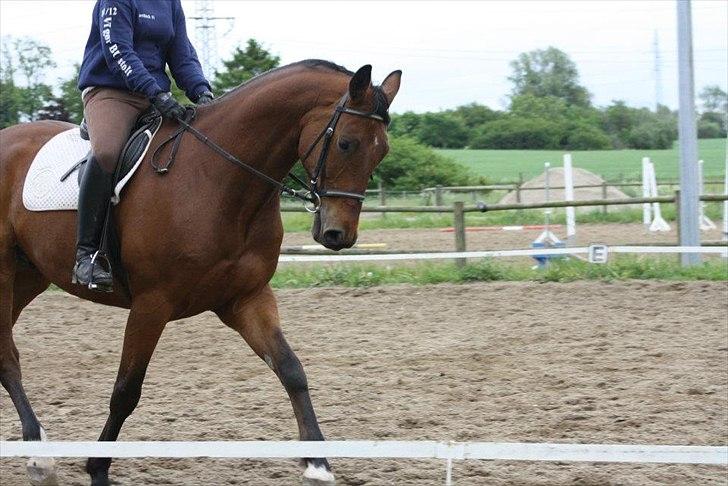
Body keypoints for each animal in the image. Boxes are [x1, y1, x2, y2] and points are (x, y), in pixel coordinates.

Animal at [0, 61, 400, 486]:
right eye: (346, 143)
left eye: (383, 151)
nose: (339, 235)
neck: (218, 179)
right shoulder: (152, 304)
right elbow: (126, 391)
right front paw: (98, 468)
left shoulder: (246, 298)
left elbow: (291, 369)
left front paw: (318, 465)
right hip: (6, 273)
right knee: (8, 356)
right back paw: (39, 457)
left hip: (29, 276)